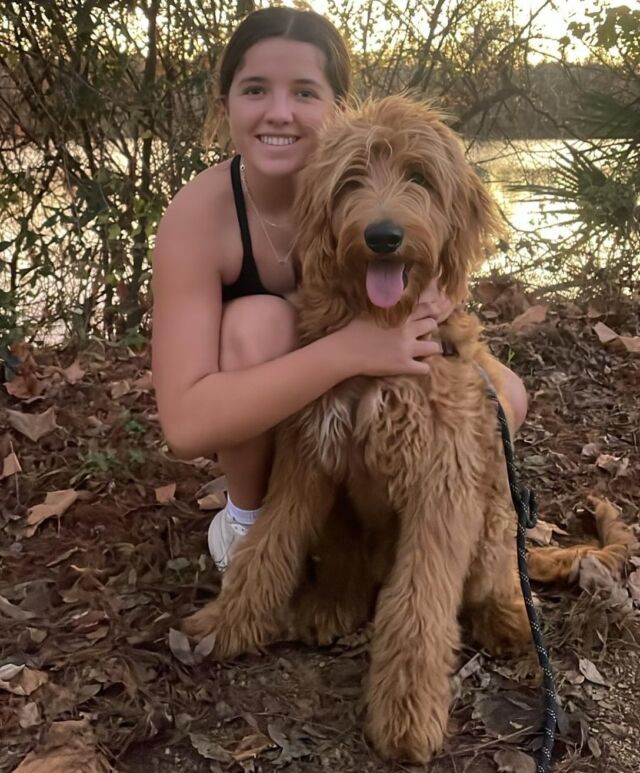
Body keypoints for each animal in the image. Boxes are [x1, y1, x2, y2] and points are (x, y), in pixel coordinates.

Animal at [184, 95, 528, 760]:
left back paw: (505, 617)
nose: (383, 237)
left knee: (494, 574)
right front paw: (225, 625)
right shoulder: (308, 457)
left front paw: (406, 715)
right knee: (348, 565)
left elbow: (419, 603)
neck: (381, 337)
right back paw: (331, 604)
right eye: (351, 181)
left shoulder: (442, 483)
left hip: (494, 506)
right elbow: (268, 545)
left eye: (419, 176)